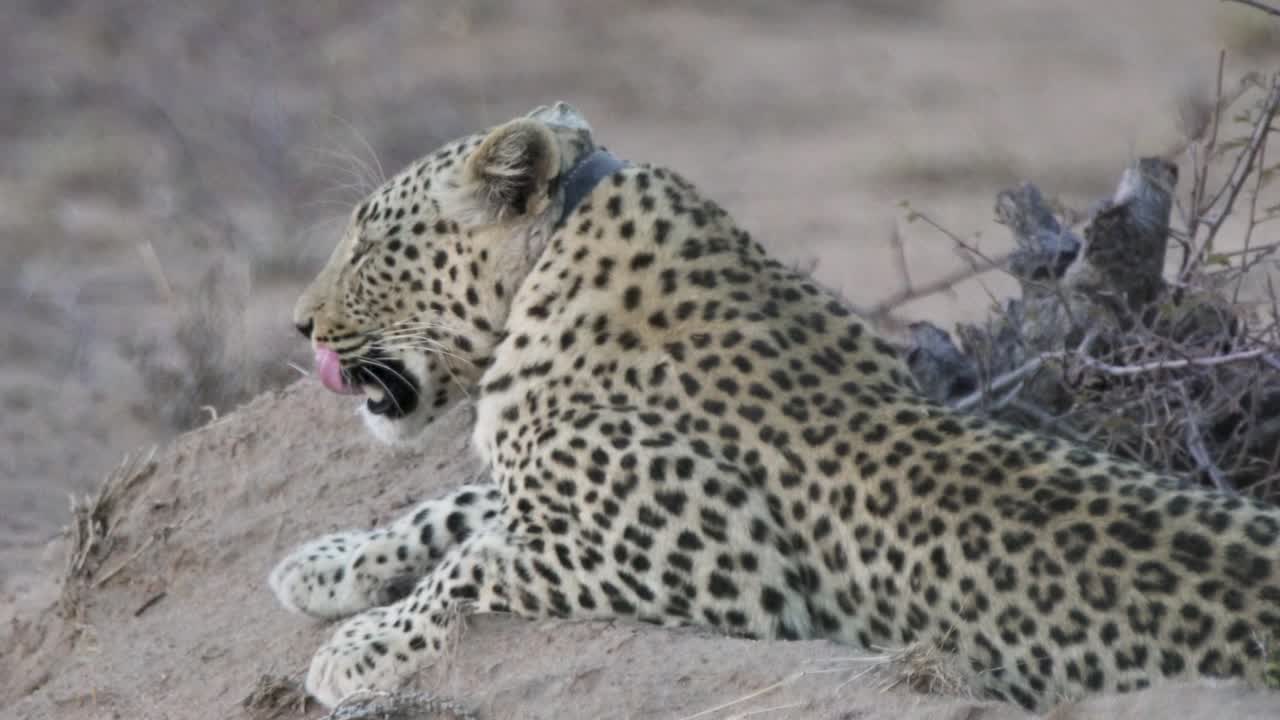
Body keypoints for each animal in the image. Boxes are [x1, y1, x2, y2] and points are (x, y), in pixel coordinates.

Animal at [270, 102, 1280, 712]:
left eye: (370, 246)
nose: (299, 323)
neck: (553, 263)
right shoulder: (561, 492)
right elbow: (457, 507)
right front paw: (326, 565)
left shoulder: (714, 557)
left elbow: (473, 559)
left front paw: (359, 647)